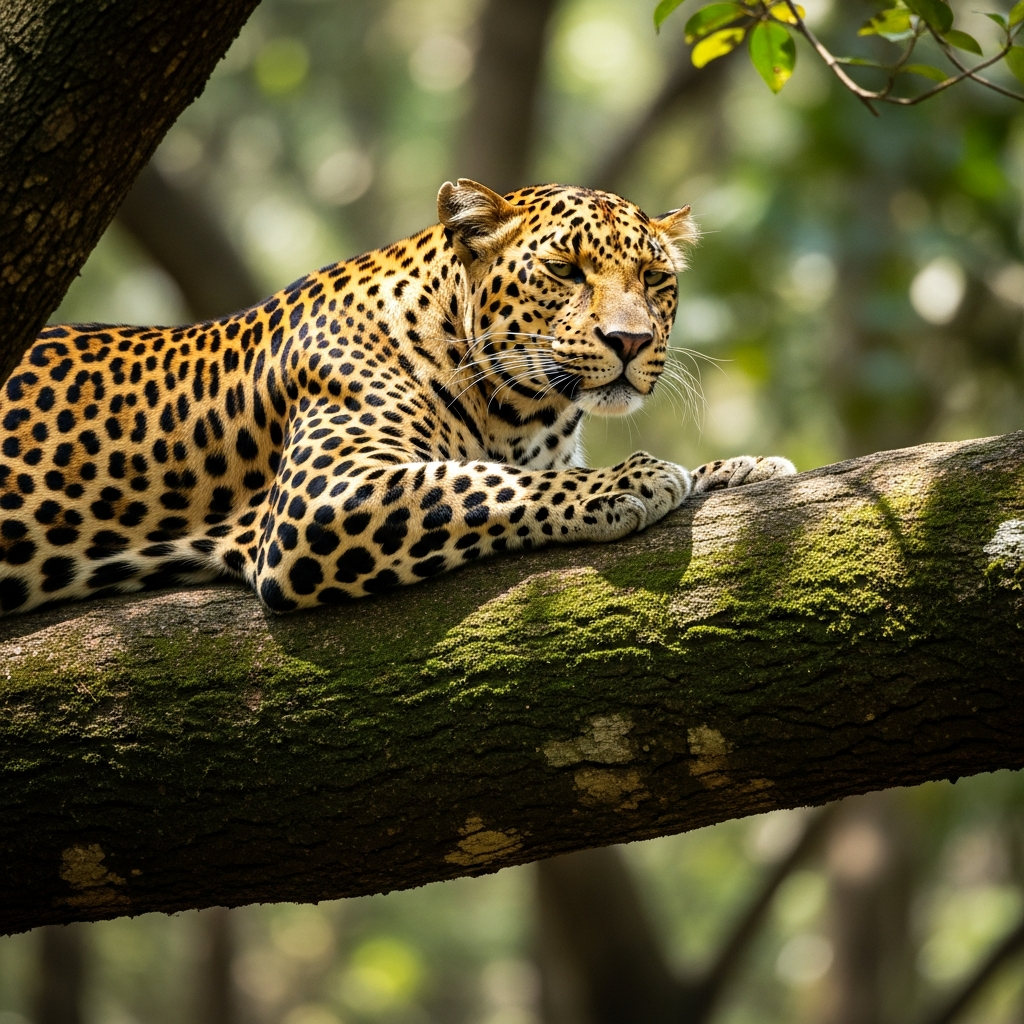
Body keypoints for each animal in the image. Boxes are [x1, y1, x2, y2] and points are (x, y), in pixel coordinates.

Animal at [0, 179, 795, 616]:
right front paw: (630, 479)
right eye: (566, 271)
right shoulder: (320, 497)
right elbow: (485, 481)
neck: (526, 411)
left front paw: (743, 468)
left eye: (655, 280)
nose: (630, 340)